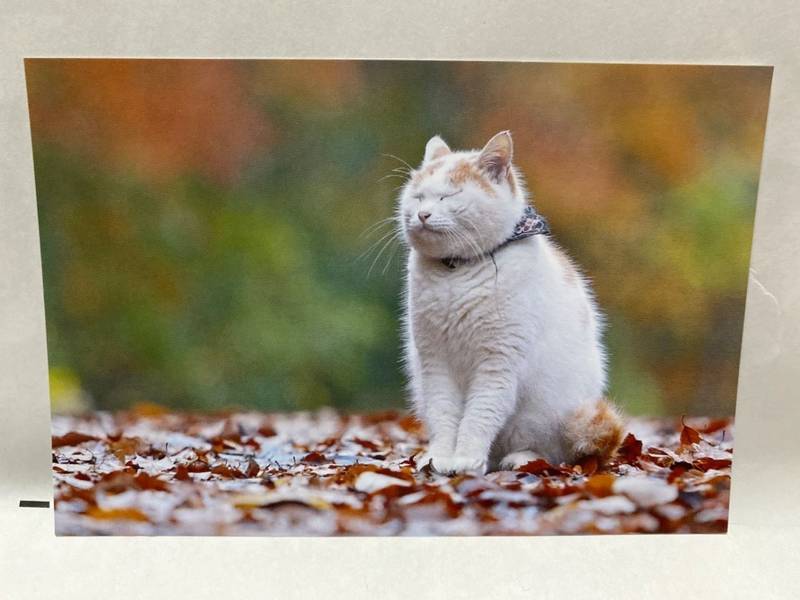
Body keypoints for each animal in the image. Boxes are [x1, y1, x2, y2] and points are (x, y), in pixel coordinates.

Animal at [400, 130, 624, 474]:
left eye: (448, 196)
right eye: (417, 196)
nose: (422, 214)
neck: (456, 271)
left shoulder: (497, 363)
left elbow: (478, 416)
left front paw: (465, 458)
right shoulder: (435, 362)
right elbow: (444, 415)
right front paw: (440, 457)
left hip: (544, 414)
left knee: (548, 451)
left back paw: (519, 459)